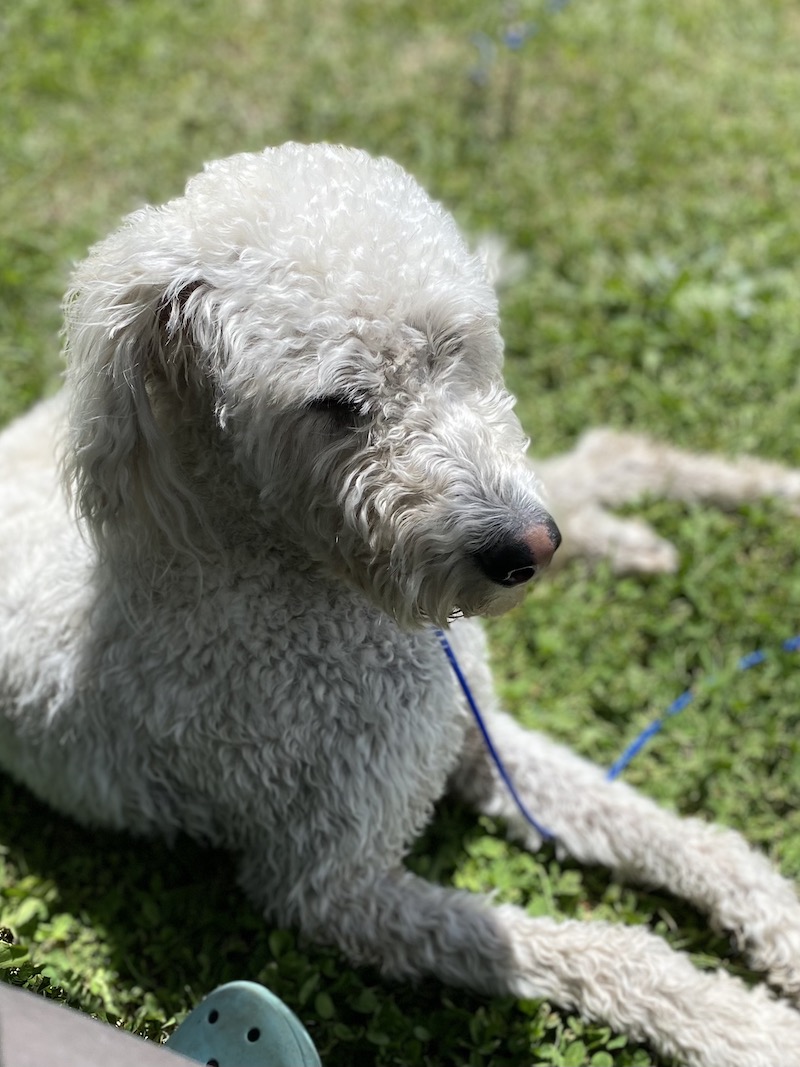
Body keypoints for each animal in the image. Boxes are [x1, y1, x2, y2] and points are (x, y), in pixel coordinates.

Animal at [1, 144, 800, 1067]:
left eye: (452, 348)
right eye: (336, 405)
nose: (525, 550)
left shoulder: (471, 731)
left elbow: (680, 834)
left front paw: (784, 924)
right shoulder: (329, 886)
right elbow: (601, 948)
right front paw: (747, 1025)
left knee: (608, 456)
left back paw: (741, 495)